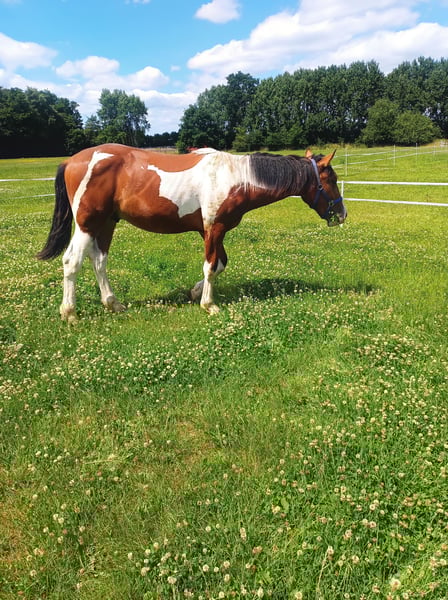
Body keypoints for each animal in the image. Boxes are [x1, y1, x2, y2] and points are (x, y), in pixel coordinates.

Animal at [37, 143, 346, 322]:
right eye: (331, 178)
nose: (342, 214)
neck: (237, 178)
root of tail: (71, 161)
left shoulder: (211, 231)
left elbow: (220, 264)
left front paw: (195, 292)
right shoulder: (214, 228)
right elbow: (211, 266)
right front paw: (209, 305)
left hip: (106, 223)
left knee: (99, 261)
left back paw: (113, 304)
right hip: (87, 223)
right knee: (72, 262)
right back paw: (70, 313)